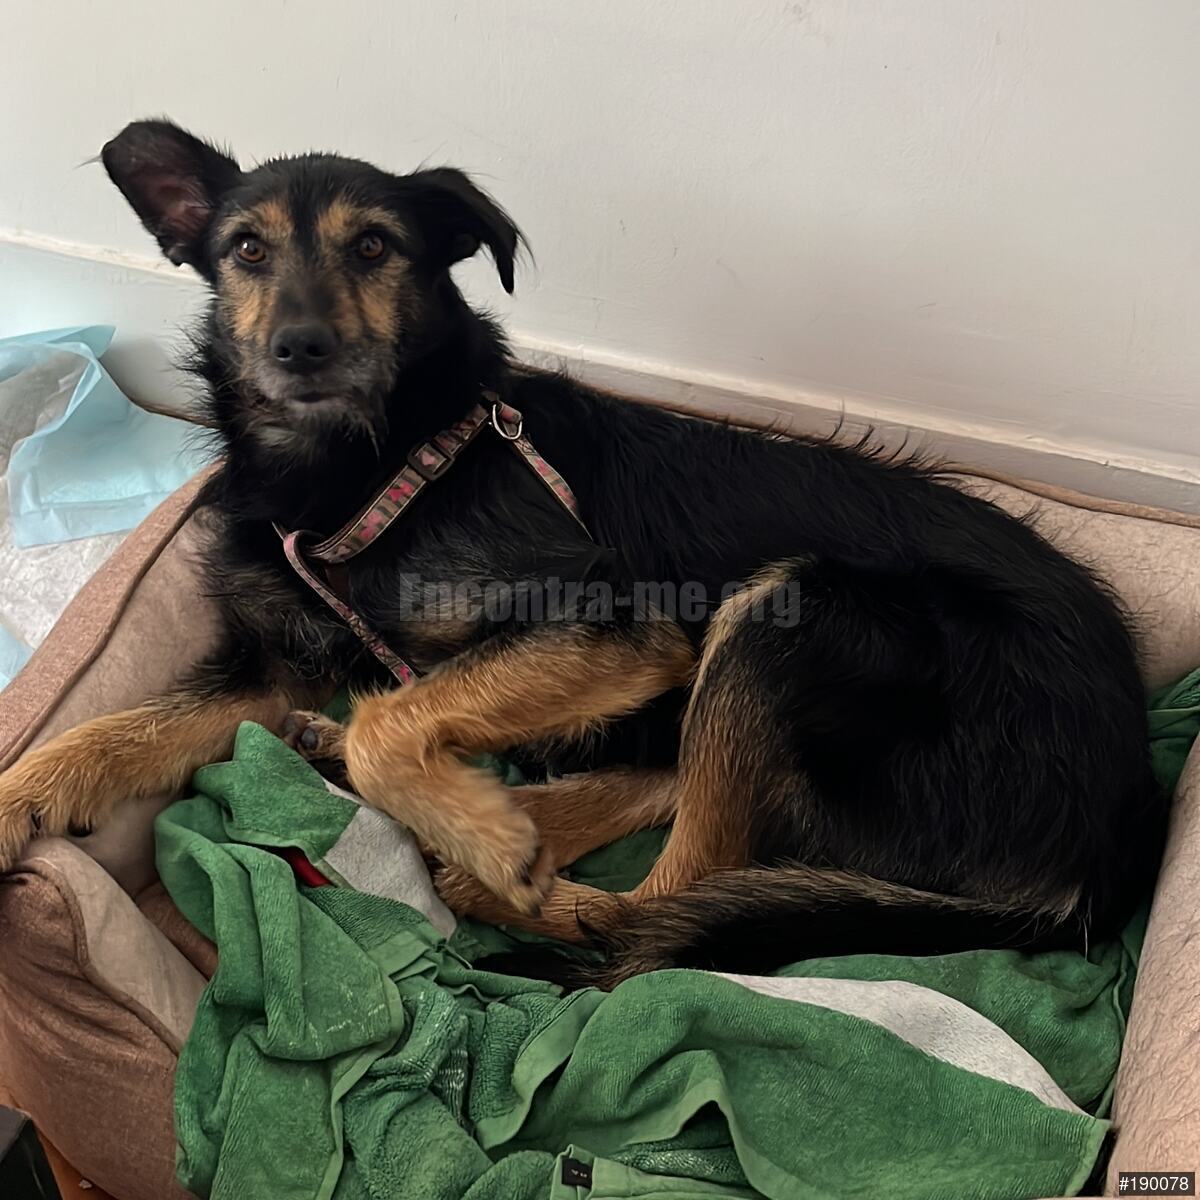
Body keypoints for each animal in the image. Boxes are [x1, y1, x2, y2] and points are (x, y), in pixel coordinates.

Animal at [0, 119, 1167, 986]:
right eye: (245, 249)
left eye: (375, 246)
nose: (300, 349)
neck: (376, 463)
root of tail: (1111, 842)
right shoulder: (268, 662)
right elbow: (109, 731)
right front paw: (21, 798)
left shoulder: (617, 625)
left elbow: (393, 721)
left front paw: (468, 828)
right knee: (660, 800)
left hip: (799, 614)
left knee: (663, 906)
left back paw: (489, 867)